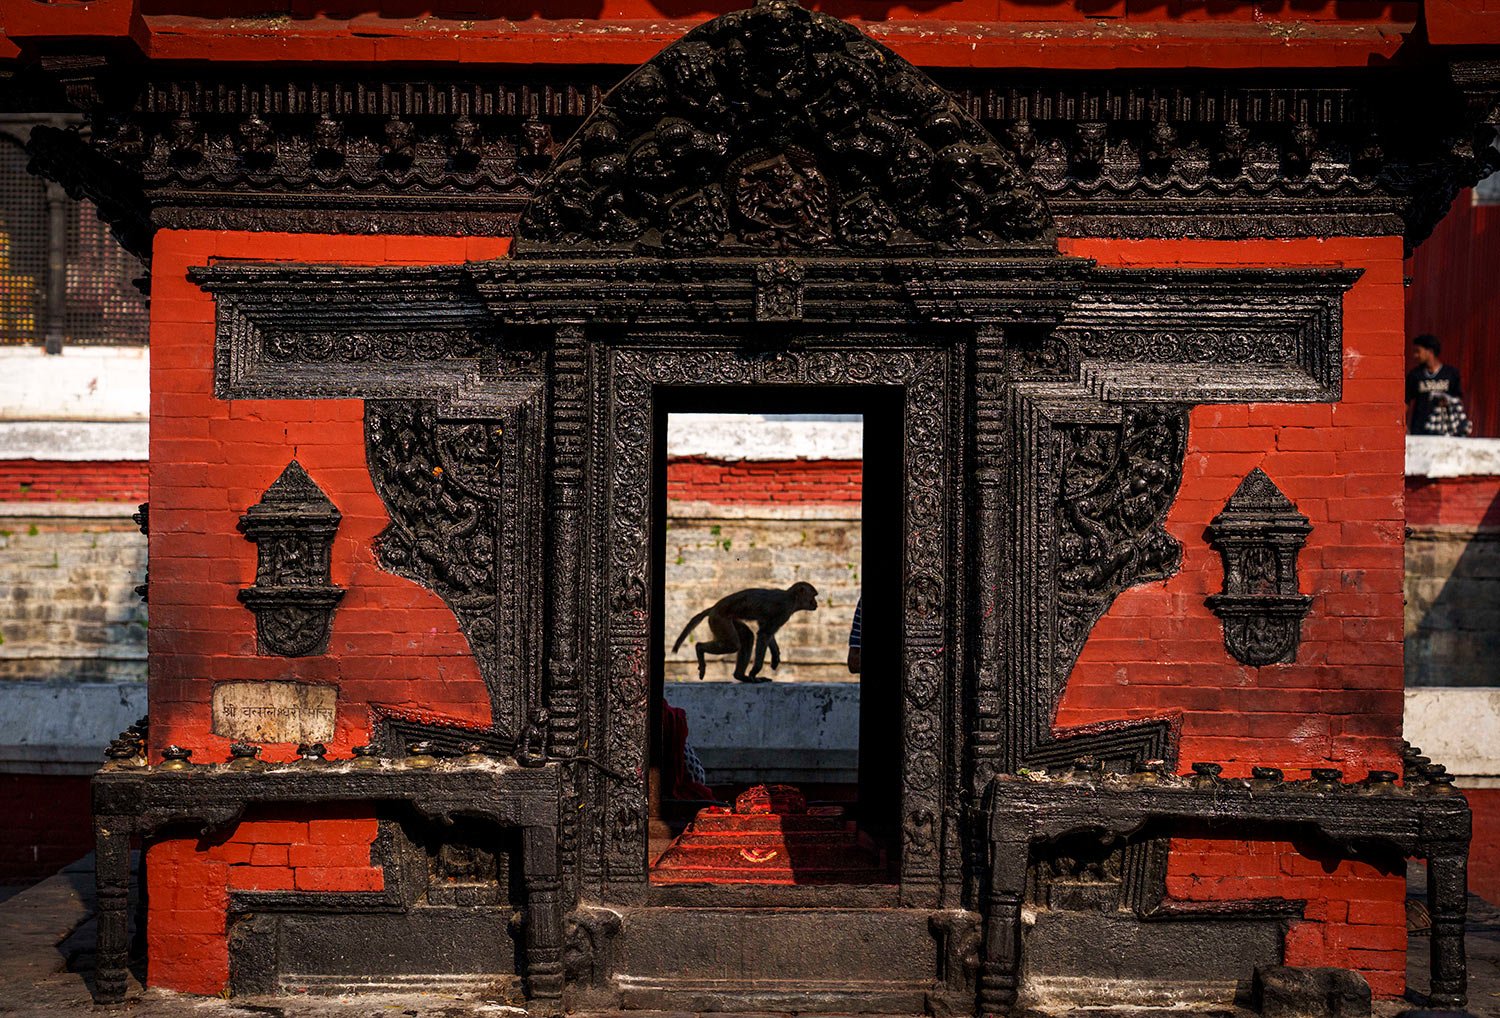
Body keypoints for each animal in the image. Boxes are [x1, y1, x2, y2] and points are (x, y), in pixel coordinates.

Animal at [675, 581, 822, 683]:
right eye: (814, 596)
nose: (816, 604)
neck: (792, 597)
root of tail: (714, 608)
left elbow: (764, 631)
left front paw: (775, 656)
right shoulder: (785, 610)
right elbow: (764, 634)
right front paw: (754, 671)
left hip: (727, 619)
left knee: (747, 637)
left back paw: (740, 676)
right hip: (720, 619)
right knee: (733, 644)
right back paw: (699, 648)